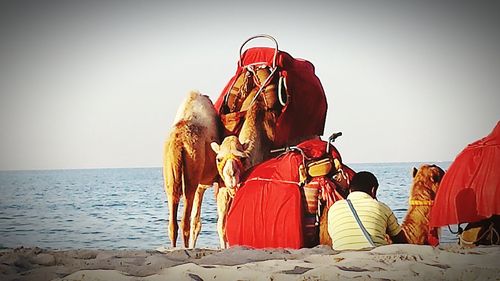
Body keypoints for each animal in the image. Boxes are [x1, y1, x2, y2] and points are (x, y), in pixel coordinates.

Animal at [162, 90, 221, 247]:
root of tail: (179, 141)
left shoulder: (202, 184)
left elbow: (197, 221)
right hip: (192, 173)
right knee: (184, 222)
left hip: (170, 176)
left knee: (173, 223)